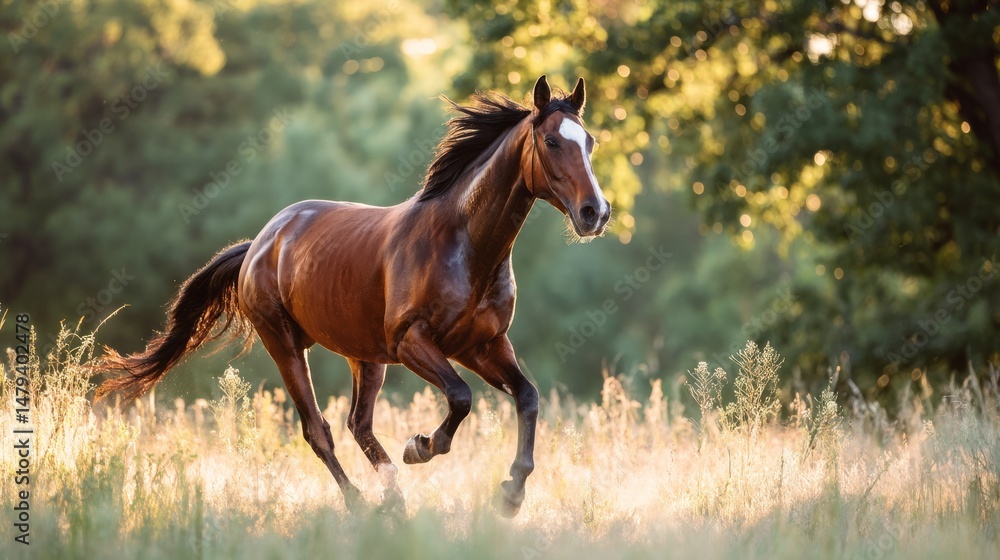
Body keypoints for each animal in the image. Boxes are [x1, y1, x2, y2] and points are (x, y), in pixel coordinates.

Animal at [95, 75, 611, 517]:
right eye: (552, 142)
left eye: (589, 142)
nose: (596, 213)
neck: (465, 246)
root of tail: (260, 241)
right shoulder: (413, 341)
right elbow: (461, 397)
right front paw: (420, 447)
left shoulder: (482, 345)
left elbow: (528, 397)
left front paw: (511, 494)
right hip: (285, 344)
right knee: (318, 430)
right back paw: (362, 504)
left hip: (365, 357)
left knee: (357, 425)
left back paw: (394, 498)